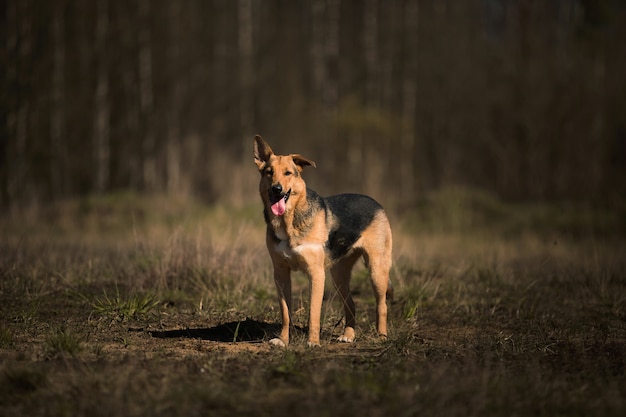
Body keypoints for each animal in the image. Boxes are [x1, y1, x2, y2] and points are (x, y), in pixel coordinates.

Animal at [252, 135, 390, 346]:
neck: (289, 221)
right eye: (269, 172)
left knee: (381, 305)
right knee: (351, 304)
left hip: (377, 269)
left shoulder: (316, 273)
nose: (277, 189)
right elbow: (285, 313)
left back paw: (381, 337)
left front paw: (313, 342)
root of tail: (376, 203)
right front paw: (283, 340)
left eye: (288, 173)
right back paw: (348, 335)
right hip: (339, 275)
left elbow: (313, 313)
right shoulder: (281, 274)